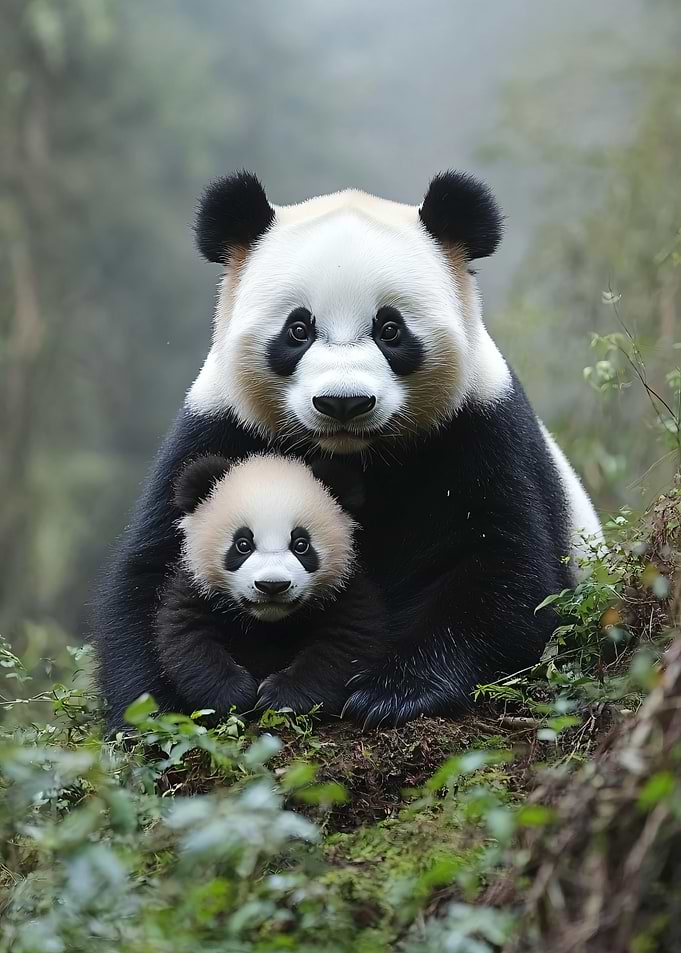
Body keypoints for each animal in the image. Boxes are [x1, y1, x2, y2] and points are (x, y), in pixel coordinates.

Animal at [155, 452, 385, 721]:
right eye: (243, 544)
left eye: (301, 545)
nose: (272, 586)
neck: (268, 622)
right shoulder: (196, 588)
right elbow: (188, 638)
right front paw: (234, 696)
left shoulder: (344, 591)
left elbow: (343, 645)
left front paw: (281, 697)